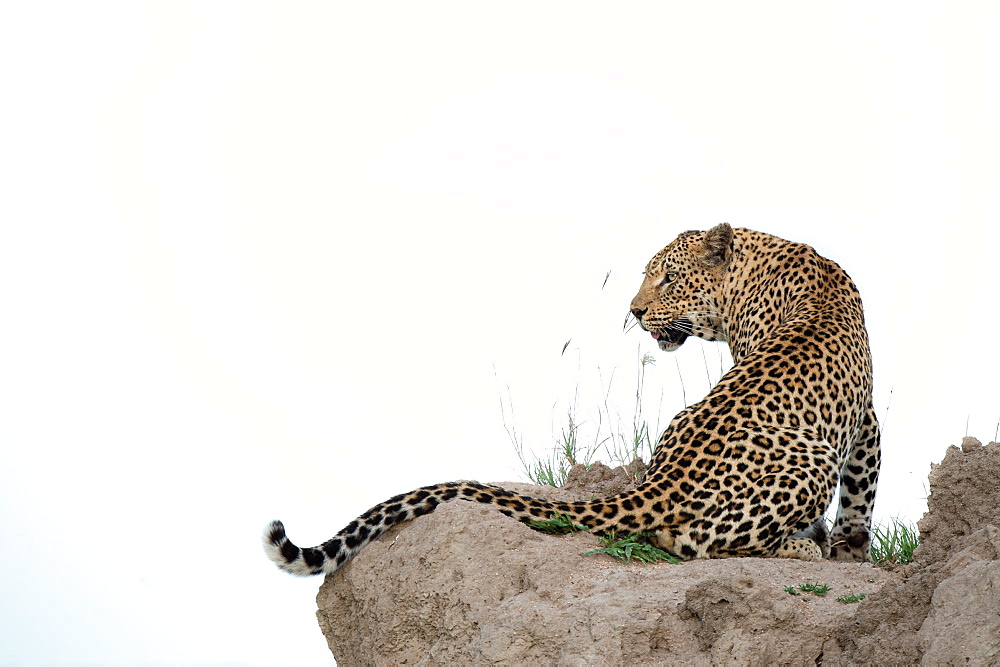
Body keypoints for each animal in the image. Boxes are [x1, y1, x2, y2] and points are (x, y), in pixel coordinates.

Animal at [262, 222, 880, 576]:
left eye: (668, 280)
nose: (634, 311)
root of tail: (659, 483)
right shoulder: (867, 421)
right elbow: (861, 496)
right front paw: (851, 553)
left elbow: (861, 494)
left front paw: (849, 548)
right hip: (812, 460)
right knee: (699, 545)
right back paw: (802, 549)